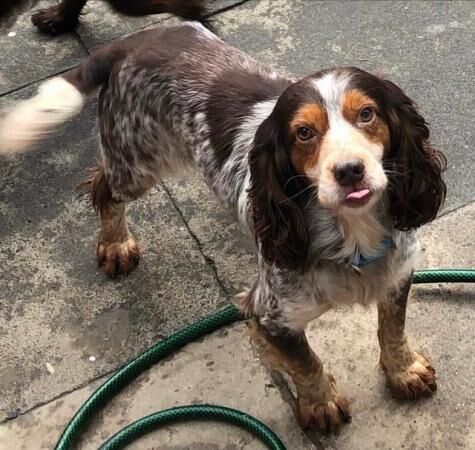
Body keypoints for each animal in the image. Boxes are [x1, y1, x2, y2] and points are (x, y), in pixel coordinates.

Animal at [0, 20, 446, 432]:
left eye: (367, 114)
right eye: (303, 133)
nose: (350, 171)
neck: (351, 236)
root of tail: (133, 41)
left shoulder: (398, 273)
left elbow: (393, 328)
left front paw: (403, 371)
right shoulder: (270, 315)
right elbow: (306, 363)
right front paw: (321, 404)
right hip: (137, 162)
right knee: (104, 187)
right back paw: (115, 244)